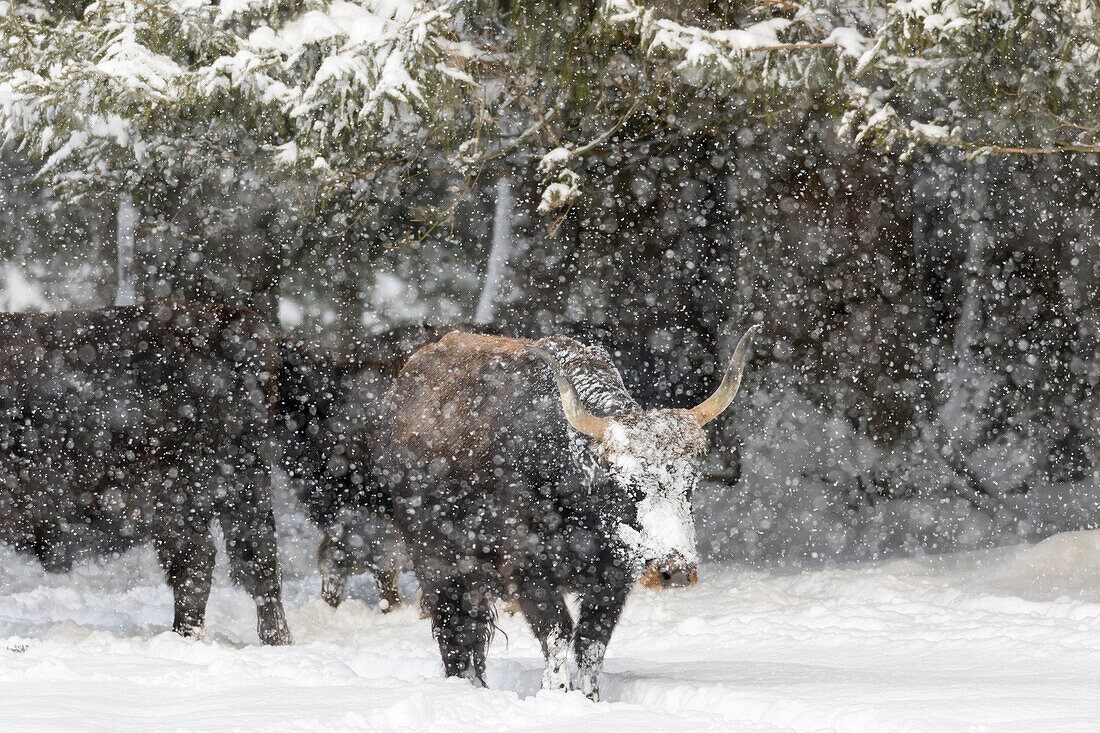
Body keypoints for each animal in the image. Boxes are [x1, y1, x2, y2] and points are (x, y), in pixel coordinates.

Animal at [376, 323, 756, 695]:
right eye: (628, 486)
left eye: (689, 484)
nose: (674, 570)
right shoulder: (530, 574)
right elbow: (557, 633)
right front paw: (556, 692)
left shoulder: (612, 581)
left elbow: (591, 643)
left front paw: (589, 697)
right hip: (438, 566)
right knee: (454, 631)